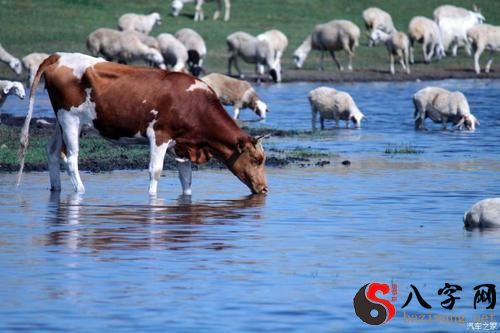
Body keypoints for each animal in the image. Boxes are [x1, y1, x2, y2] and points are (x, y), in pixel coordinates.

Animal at [18, 52, 270, 195]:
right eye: (256, 160)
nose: (265, 188)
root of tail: (59, 56)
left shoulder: (182, 144)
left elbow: (186, 177)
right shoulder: (159, 135)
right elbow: (155, 171)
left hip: (63, 122)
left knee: (52, 151)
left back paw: (56, 189)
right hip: (70, 119)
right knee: (71, 158)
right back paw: (80, 190)